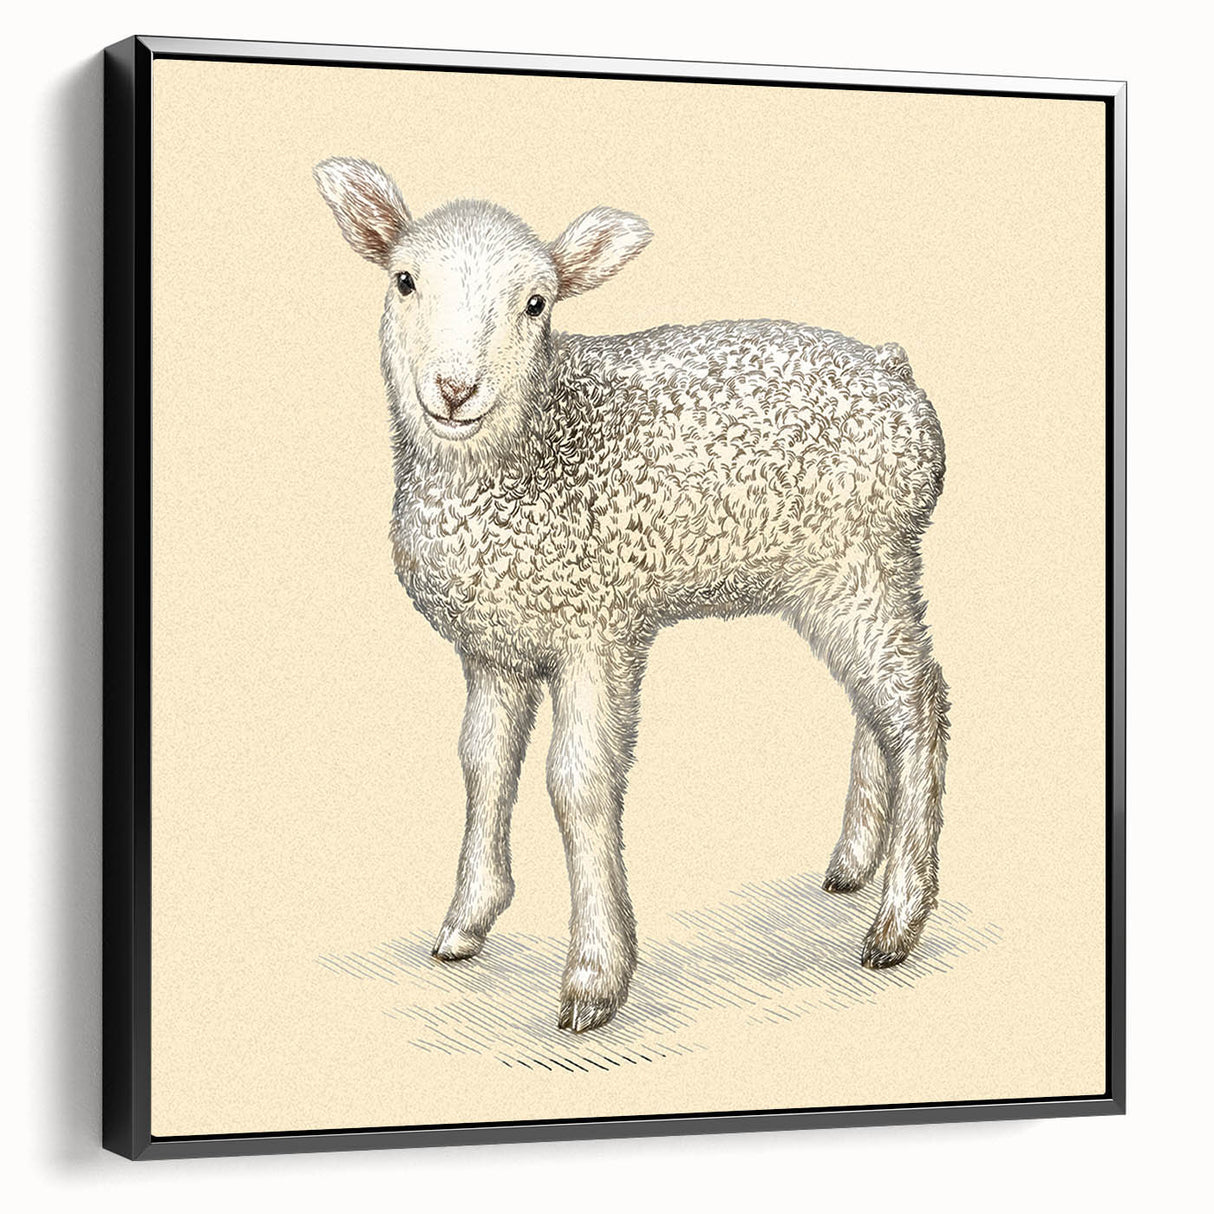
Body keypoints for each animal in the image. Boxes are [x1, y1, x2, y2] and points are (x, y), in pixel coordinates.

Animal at [314, 157, 950, 1034]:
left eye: (537, 303)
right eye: (404, 280)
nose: (455, 389)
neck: (521, 452)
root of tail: (896, 370)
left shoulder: (598, 628)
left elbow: (577, 785)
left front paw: (594, 978)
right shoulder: (495, 647)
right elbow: (482, 765)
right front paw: (466, 921)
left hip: (862, 561)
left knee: (917, 704)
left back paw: (897, 920)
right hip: (845, 576)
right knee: (876, 703)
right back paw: (855, 863)